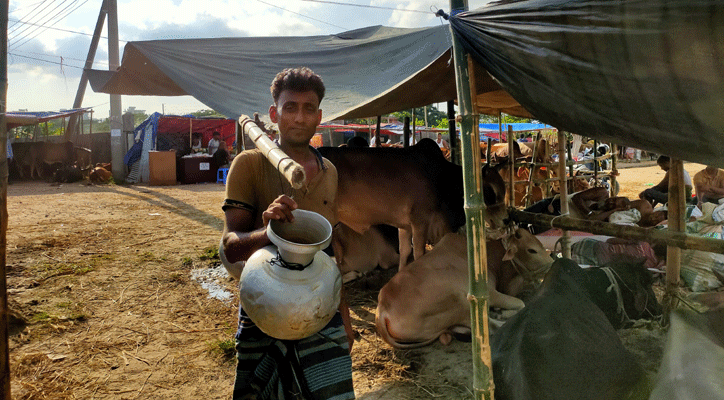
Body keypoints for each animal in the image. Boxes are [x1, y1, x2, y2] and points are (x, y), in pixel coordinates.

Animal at [376, 227, 552, 348]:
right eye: (532, 250)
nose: (552, 262)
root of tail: (383, 308)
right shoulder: (490, 293)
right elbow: (521, 304)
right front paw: (502, 312)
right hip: (461, 302)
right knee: (490, 327)